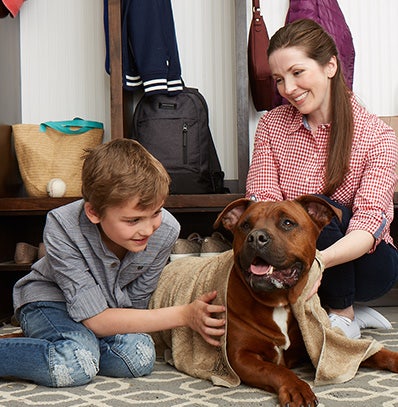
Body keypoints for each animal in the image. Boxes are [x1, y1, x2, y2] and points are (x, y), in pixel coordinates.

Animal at [215, 194, 398, 407]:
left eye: (287, 223)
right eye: (245, 225)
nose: (255, 237)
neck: (278, 301)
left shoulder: (323, 344)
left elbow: (375, 352)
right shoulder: (241, 357)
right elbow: (274, 369)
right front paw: (297, 388)